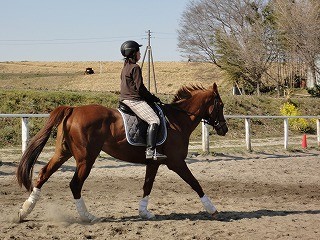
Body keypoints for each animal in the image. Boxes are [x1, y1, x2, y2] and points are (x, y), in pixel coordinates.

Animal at [16, 83, 228, 223]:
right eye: (221, 105)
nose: (224, 129)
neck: (178, 120)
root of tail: (73, 109)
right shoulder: (176, 162)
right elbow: (195, 182)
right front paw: (212, 209)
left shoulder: (153, 163)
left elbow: (147, 186)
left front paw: (144, 212)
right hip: (86, 158)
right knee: (75, 184)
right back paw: (88, 216)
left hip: (63, 153)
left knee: (44, 174)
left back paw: (24, 211)